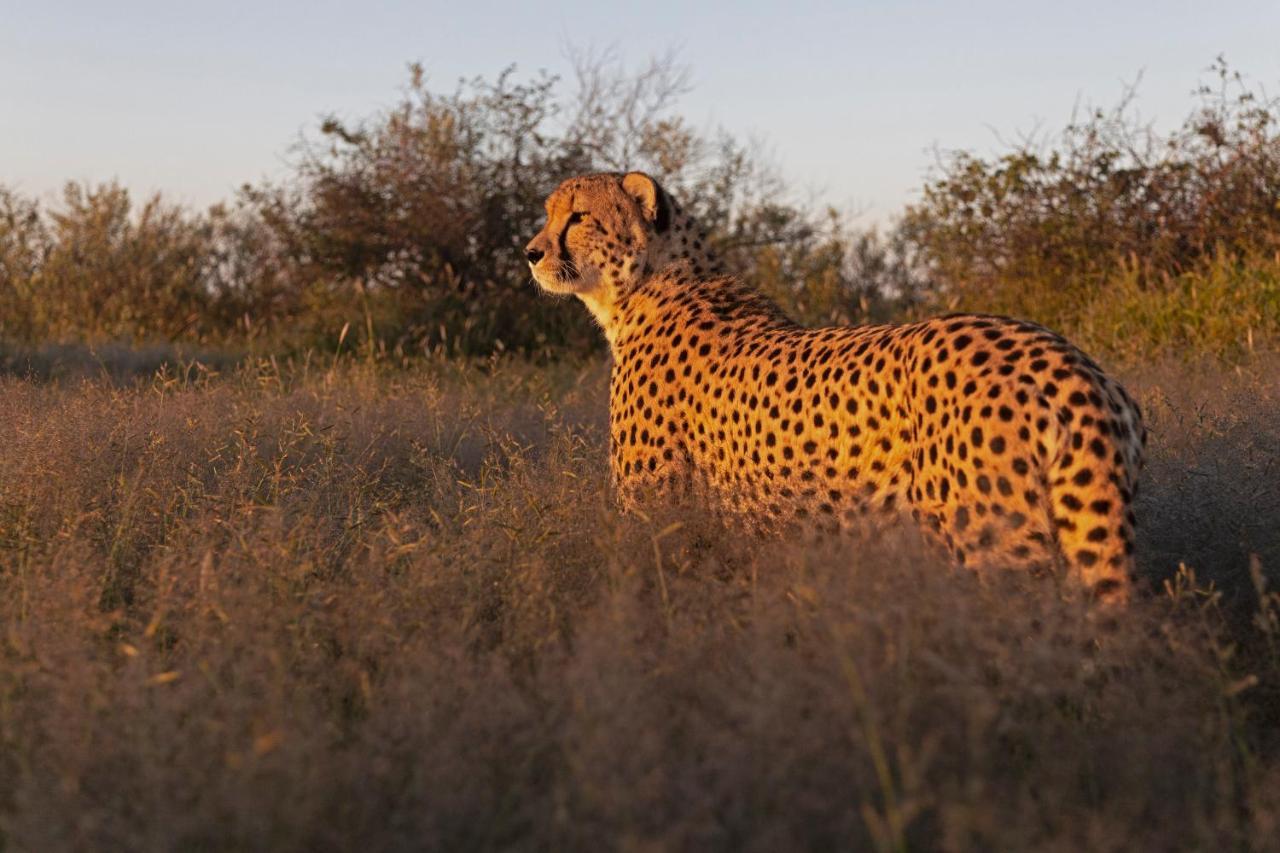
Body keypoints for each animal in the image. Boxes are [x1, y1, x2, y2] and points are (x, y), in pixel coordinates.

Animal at [524, 169, 1146, 601]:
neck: (647, 288)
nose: (530, 252)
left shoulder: (656, 518)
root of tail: (1066, 361)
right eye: (549, 215)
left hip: (994, 553)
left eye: (577, 217)